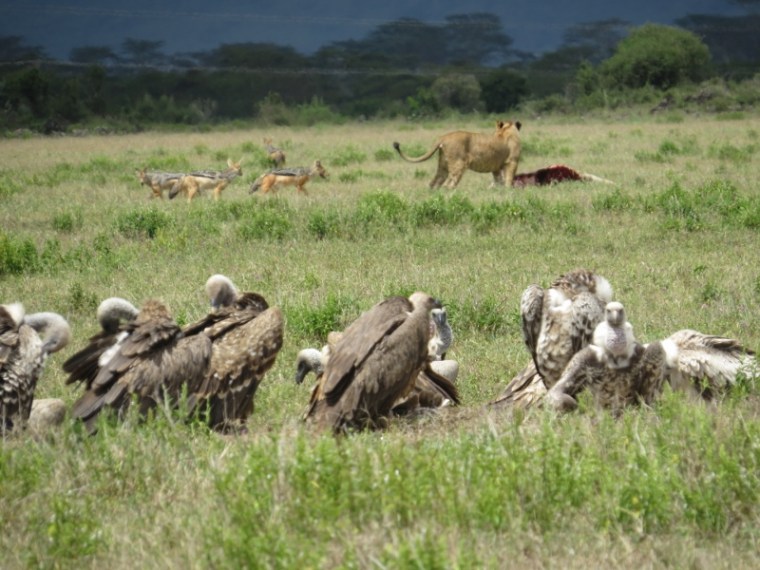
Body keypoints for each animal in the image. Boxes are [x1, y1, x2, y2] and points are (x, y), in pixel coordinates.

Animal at [393, 120, 522, 189]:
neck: (505, 131)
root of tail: (443, 137)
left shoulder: (496, 167)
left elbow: (498, 180)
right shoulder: (512, 162)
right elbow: (508, 179)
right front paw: (508, 191)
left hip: (443, 166)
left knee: (434, 183)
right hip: (458, 165)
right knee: (448, 185)